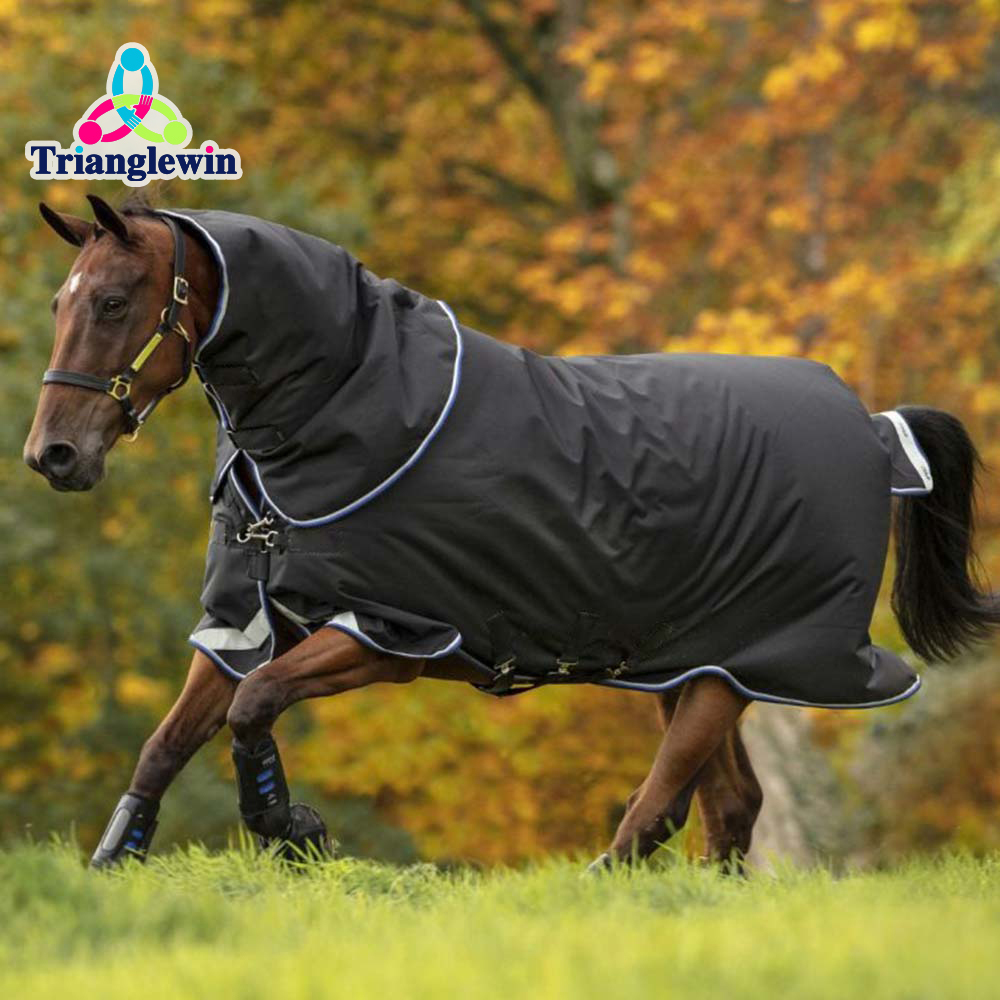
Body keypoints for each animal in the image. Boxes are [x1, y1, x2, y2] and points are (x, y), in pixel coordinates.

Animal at [24, 195, 1000, 870]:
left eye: (113, 301)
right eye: (59, 305)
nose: (54, 454)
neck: (343, 406)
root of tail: (873, 427)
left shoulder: (391, 633)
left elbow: (255, 706)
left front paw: (290, 828)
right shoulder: (245, 619)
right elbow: (168, 740)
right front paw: (117, 856)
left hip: (751, 659)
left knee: (663, 806)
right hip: (693, 663)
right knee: (728, 807)